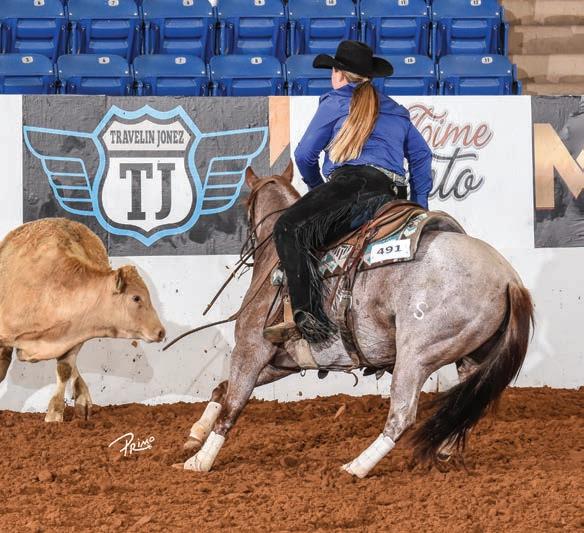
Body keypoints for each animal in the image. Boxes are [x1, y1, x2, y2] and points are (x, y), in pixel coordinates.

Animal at [0, 218, 165, 422]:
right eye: (136, 297)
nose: (161, 331)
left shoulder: (73, 337)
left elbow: (65, 370)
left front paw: (54, 414)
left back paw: (83, 401)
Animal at [175, 162, 534, 477]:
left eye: (243, 207)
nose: (243, 246)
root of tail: (509, 279)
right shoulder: (282, 361)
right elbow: (222, 390)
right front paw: (194, 434)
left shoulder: (251, 349)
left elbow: (233, 404)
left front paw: (199, 461)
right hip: (469, 355)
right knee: (465, 402)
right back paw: (445, 448)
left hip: (417, 355)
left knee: (402, 415)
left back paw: (355, 467)